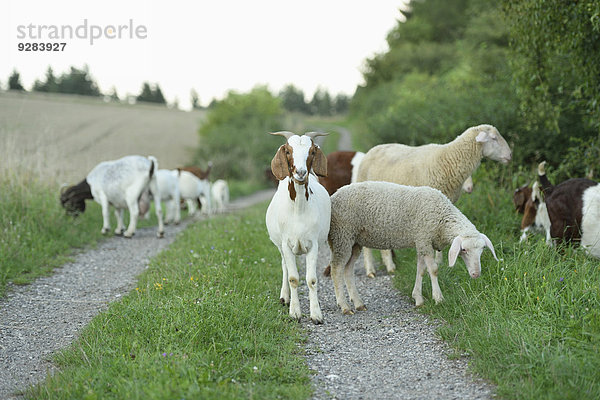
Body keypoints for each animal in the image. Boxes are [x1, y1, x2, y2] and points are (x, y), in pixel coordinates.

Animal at [266, 131, 332, 324]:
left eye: (312, 151)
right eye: (288, 151)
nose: (301, 173)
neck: (298, 210)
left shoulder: (313, 245)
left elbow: (311, 280)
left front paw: (316, 314)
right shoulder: (287, 244)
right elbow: (293, 278)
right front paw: (295, 312)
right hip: (280, 246)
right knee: (284, 267)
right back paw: (285, 297)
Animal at [326, 182, 500, 312]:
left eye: (482, 250)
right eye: (463, 250)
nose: (476, 274)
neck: (442, 218)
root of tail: (332, 197)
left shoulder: (421, 242)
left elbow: (421, 270)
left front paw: (418, 298)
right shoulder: (424, 239)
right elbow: (433, 270)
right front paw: (438, 298)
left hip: (355, 242)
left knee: (347, 269)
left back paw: (358, 303)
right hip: (342, 236)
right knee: (336, 269)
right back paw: (344, 306)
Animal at [356, 123, 510, 276]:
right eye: (494, 138)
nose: (510, 155)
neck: (448, 159)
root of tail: (371, 150)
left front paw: (439, 260)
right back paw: (374, 269)